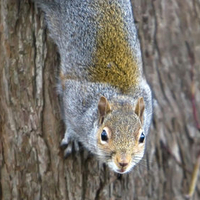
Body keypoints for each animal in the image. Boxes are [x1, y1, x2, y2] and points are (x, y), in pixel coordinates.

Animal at [37, 0, 153, 173]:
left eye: (142, 137)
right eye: (103, 135)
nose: (123, 162)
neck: (119, 96)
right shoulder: (75, 100)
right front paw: (72, 137)